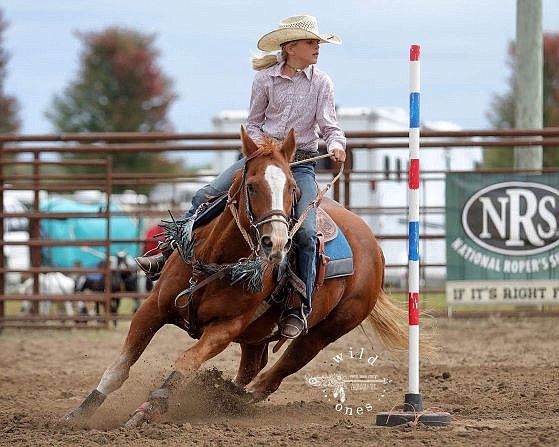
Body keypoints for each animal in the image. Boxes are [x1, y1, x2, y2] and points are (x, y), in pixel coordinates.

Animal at [64, 128, 406, 428]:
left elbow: (186, 362)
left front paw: (147, 410)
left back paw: (232, 398)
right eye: (252, 185)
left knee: (274, 374)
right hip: (257, 334)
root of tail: (374, 245)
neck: (216, 260)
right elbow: (120, 367)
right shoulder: (153, 308)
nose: (276, 243)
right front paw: (79, 413)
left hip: (325, 331)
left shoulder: (225, 328)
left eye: (292, 189)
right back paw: (222, 395)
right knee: (253, 366)